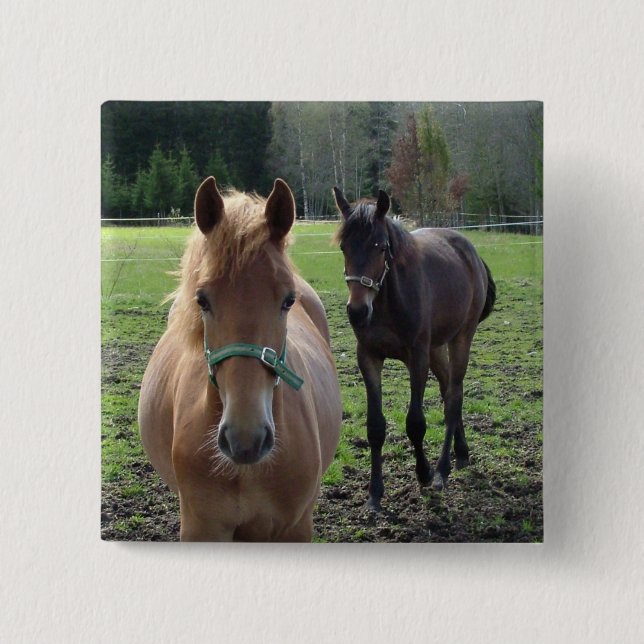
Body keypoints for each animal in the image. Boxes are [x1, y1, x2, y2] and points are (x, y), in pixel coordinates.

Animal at [333, 187, 496, 511]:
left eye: (381, 247)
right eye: (344, 247)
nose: (357, 311)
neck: (387, 303)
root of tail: (471, 251)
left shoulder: (417, 357)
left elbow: (416, 422)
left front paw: (423, 473)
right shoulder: (368, 357)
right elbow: (375, 427)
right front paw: (374, 494)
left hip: (461, 338)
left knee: (454, 397)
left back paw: (443, 469)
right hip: (437, 349)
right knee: (449, 391)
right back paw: (461, 453)